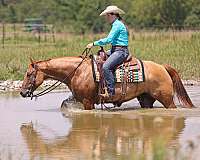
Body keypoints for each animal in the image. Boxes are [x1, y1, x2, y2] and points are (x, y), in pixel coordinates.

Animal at [20, 54, 194, 109]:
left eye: (29, 74)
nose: (22, 92)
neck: (76, 71)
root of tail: (162, 67)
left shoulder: (87, 102)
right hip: (146, 99)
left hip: (166, 99)